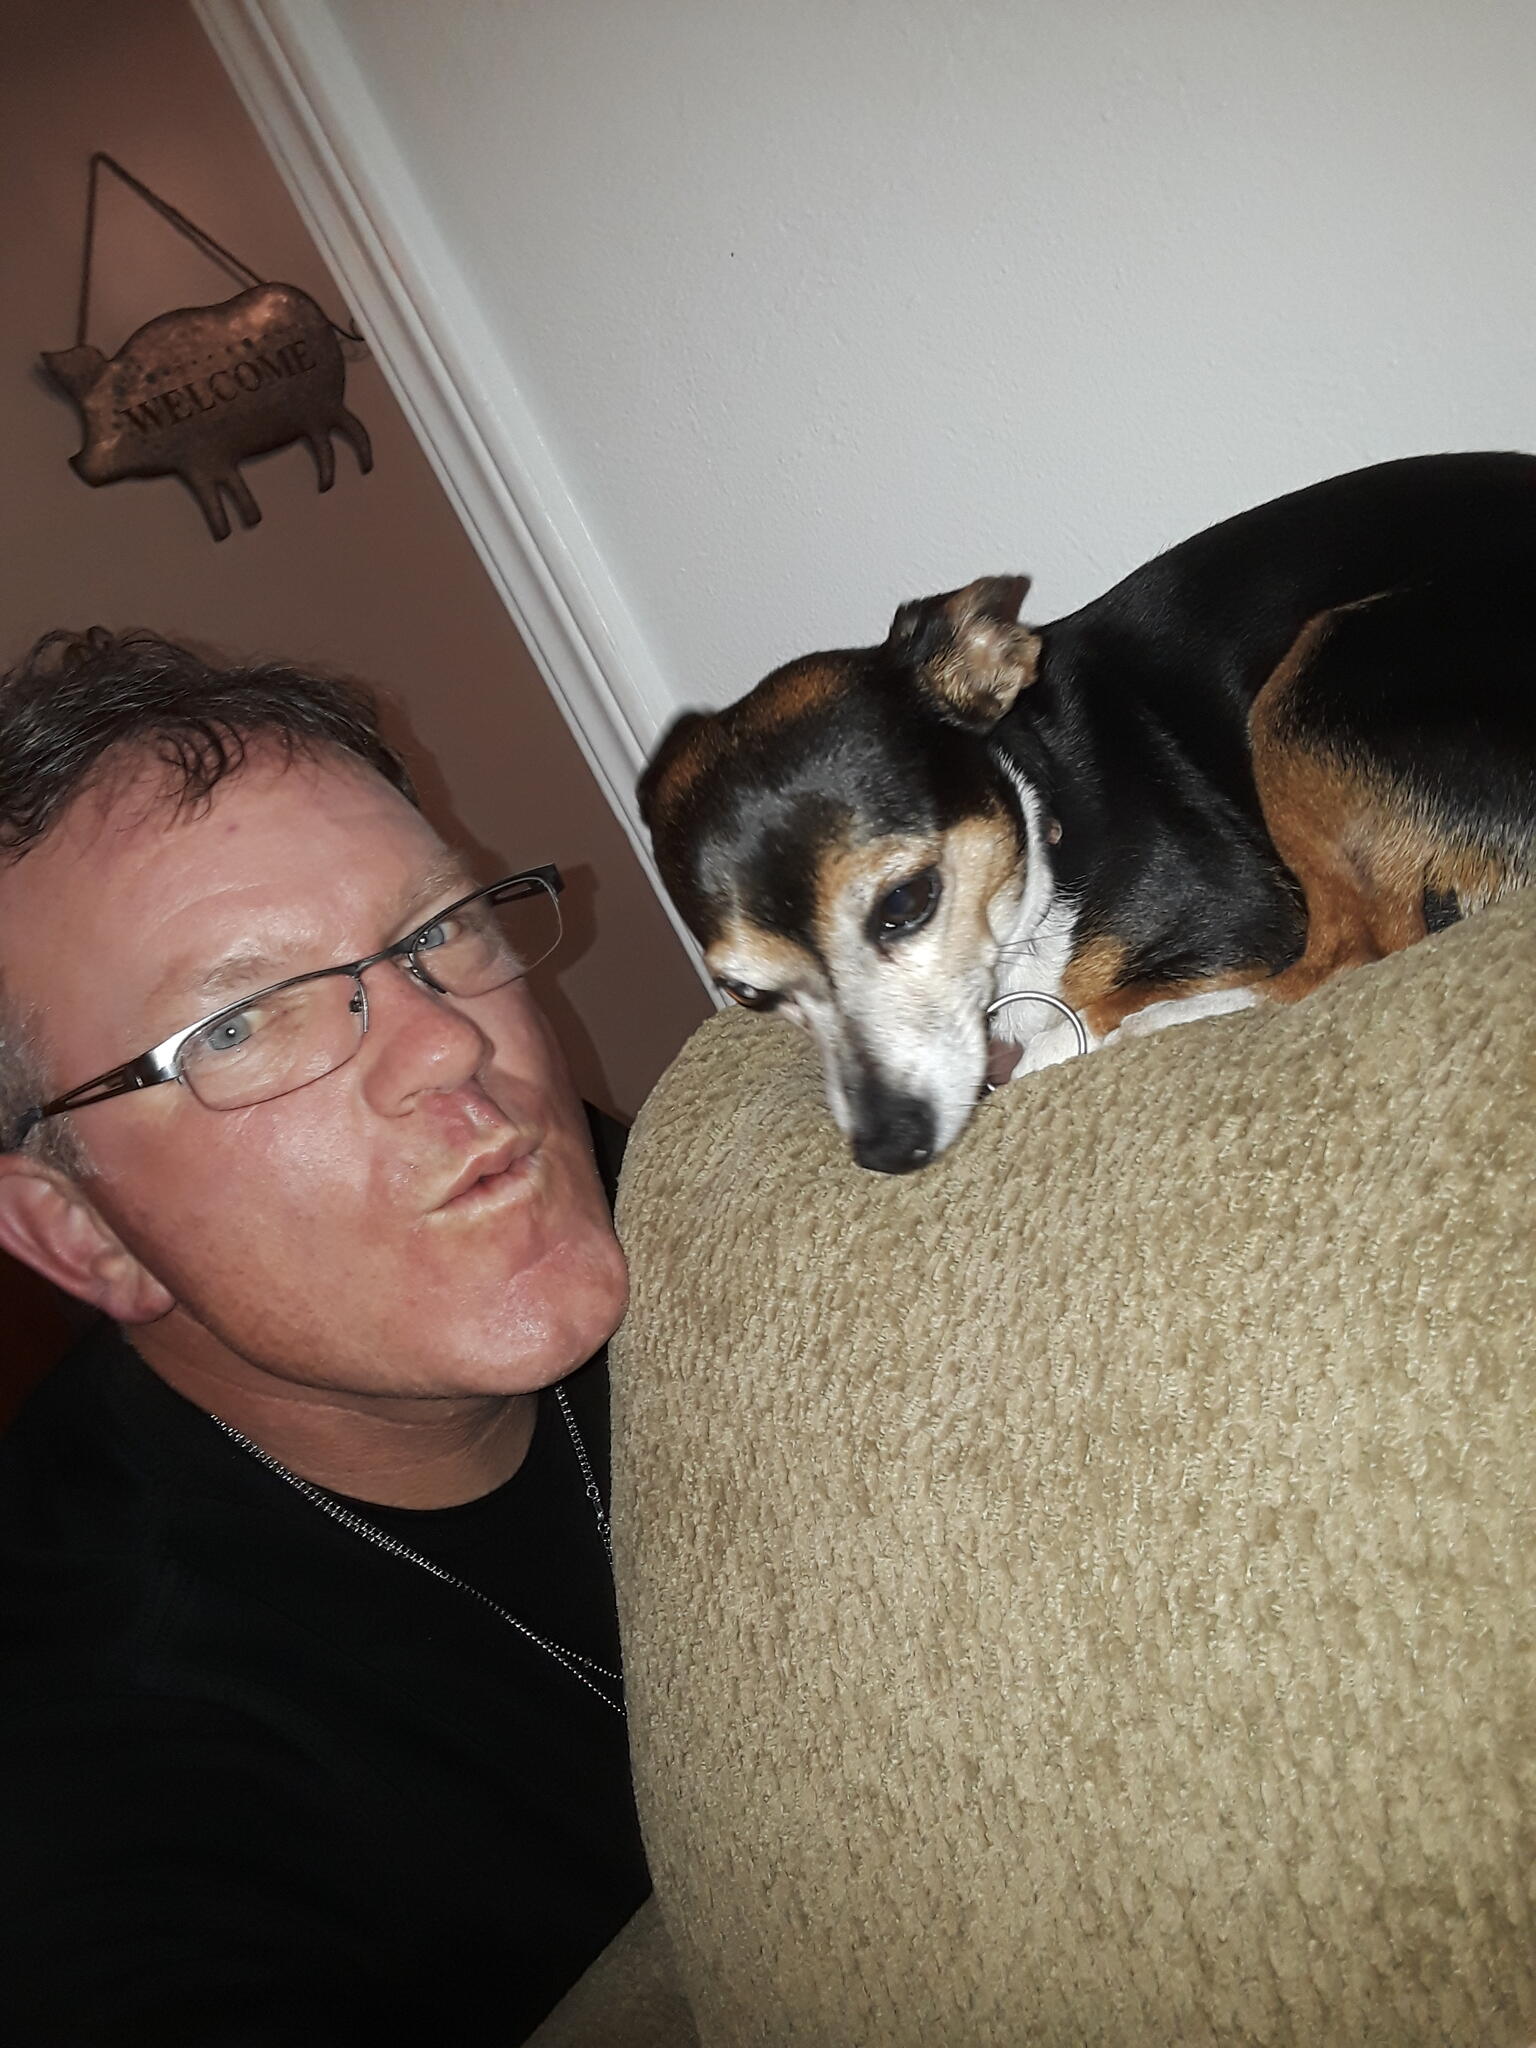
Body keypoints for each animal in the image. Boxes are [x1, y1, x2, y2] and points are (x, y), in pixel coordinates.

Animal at [640, 452, 1536, 1173]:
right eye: (745, 994)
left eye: (906, 902)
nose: (890, 1150)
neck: (1039, 805)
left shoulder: (1243, 915)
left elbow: (1059, 1033)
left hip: (1309, 688)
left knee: (1353, 955)